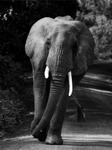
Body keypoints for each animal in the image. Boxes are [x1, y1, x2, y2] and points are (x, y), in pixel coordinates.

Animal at [25, 15, 95, 145]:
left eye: (74, 46)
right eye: (47, 43)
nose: (32, 131)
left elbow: (64, 90)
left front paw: (52, 142)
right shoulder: (38, 54)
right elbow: (40, 85)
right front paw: (40, 134)